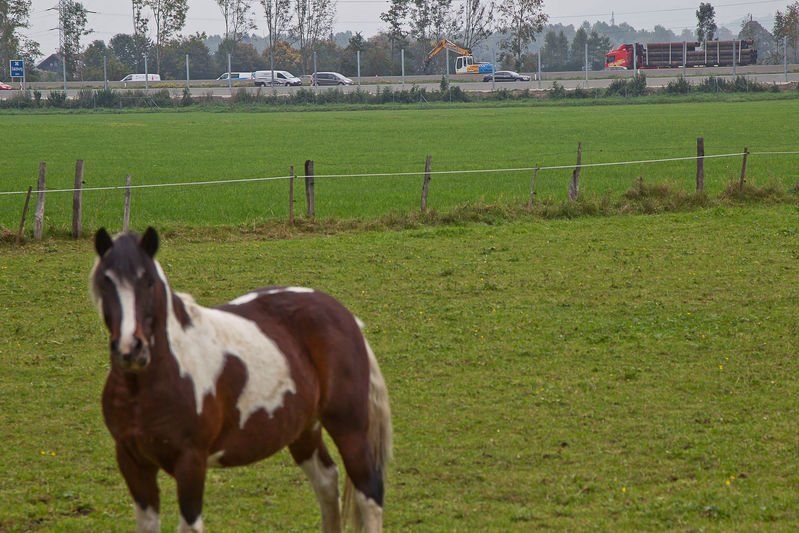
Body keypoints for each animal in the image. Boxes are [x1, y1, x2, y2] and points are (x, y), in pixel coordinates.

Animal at [89, 227, 392, 533]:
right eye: (105, 282)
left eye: (148, 281)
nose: (131, 349)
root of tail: (344, 315)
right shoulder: (133, 462)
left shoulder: (190, 463)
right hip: (304, 429)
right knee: (327, 482)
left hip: (348, 427)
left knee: (369, 492)